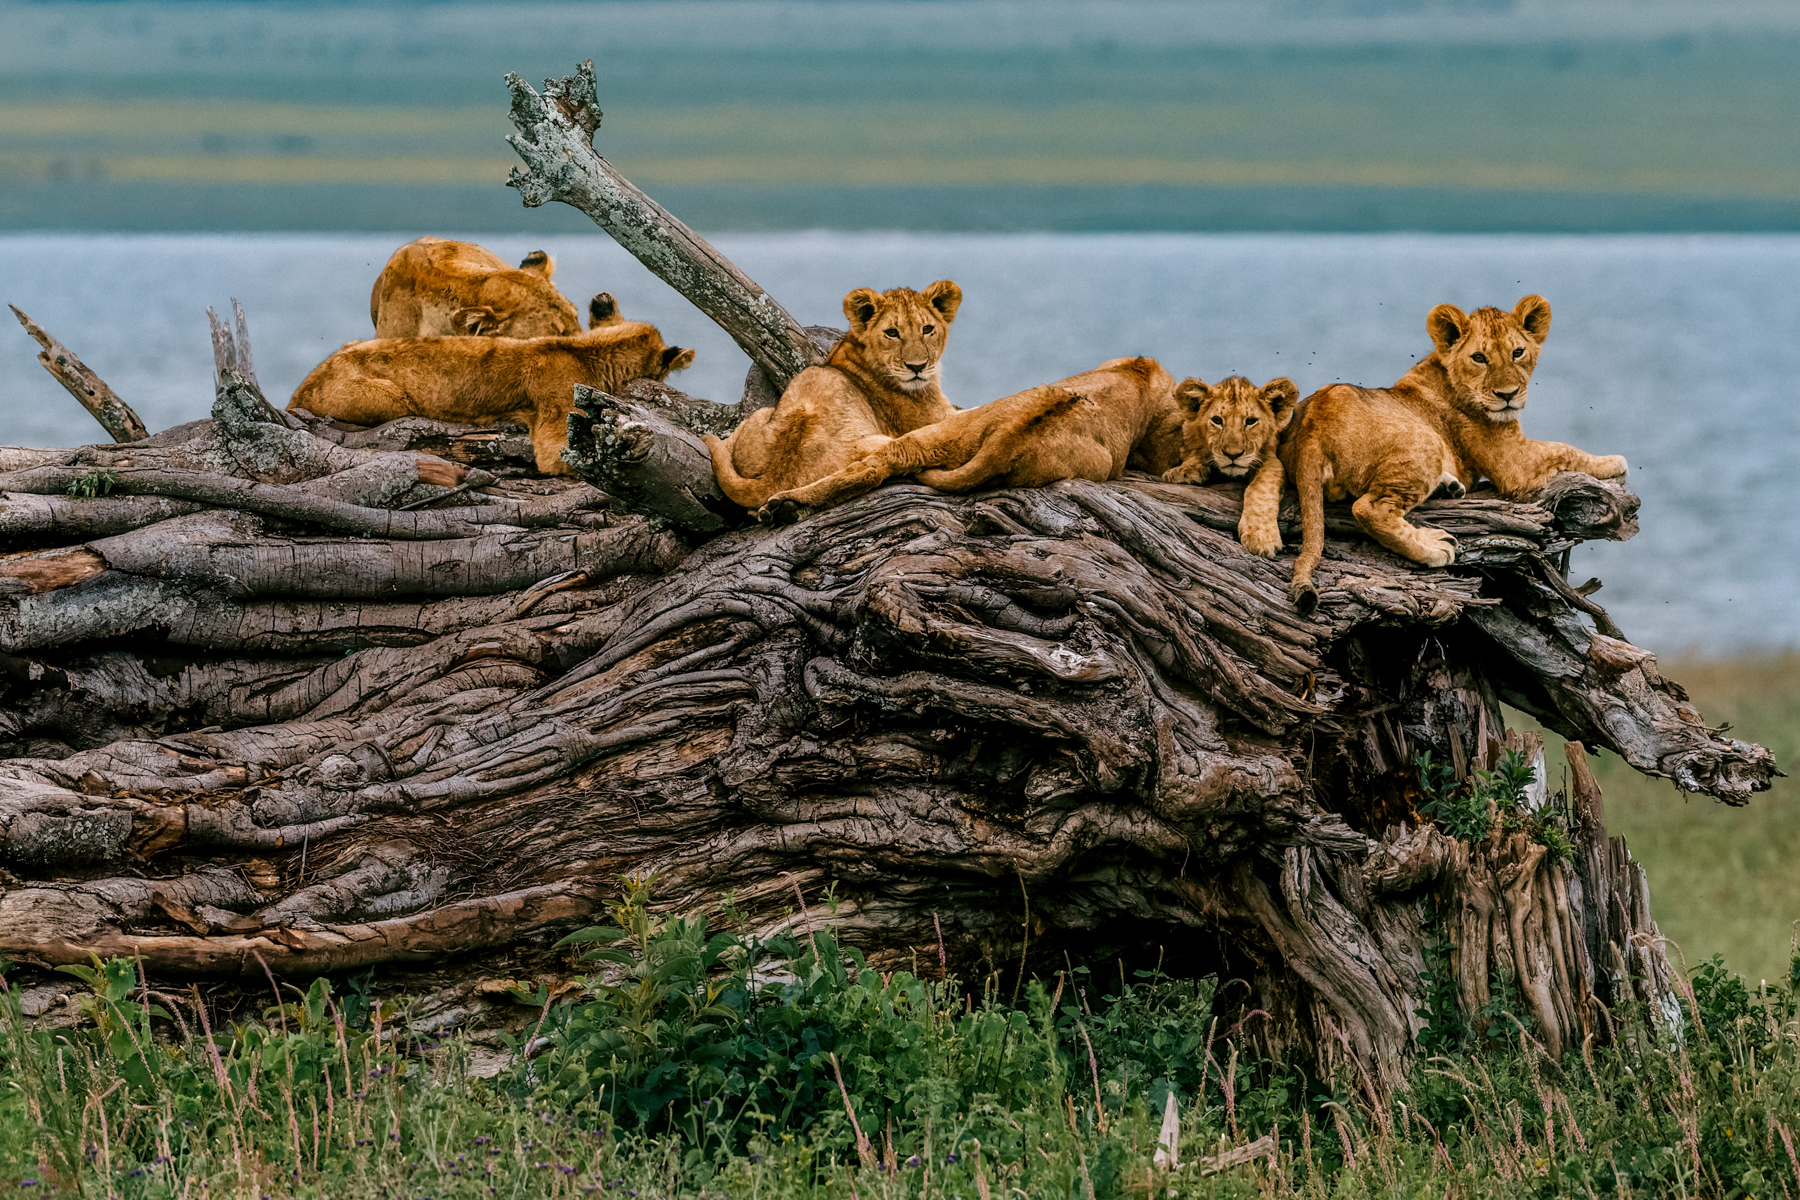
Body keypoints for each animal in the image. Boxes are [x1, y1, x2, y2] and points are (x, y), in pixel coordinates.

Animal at [703, 281, 962, 510]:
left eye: (927, 329)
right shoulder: (935, 417)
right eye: (892, 333)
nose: (917, 367)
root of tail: (773, 478)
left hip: (765, 411)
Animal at [1160, 375, 1300, 558]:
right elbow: (1195, 451)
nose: (1232, 454)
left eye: (1251, 421)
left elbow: (1260, 489)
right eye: (1217, 420)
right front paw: (1185, 471)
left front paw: (1260, 537)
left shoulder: (1271, 459)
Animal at [1273, 295, 1627, 613]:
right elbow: (1565, 449)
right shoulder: (1514, 462)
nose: (1508, 394)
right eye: (1479, 357)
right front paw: (1612, 462)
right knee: (1369, 508)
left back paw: (1448, 487)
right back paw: (1435, 546)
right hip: (1426, 441)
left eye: (1518, 352)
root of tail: (1311, 429)